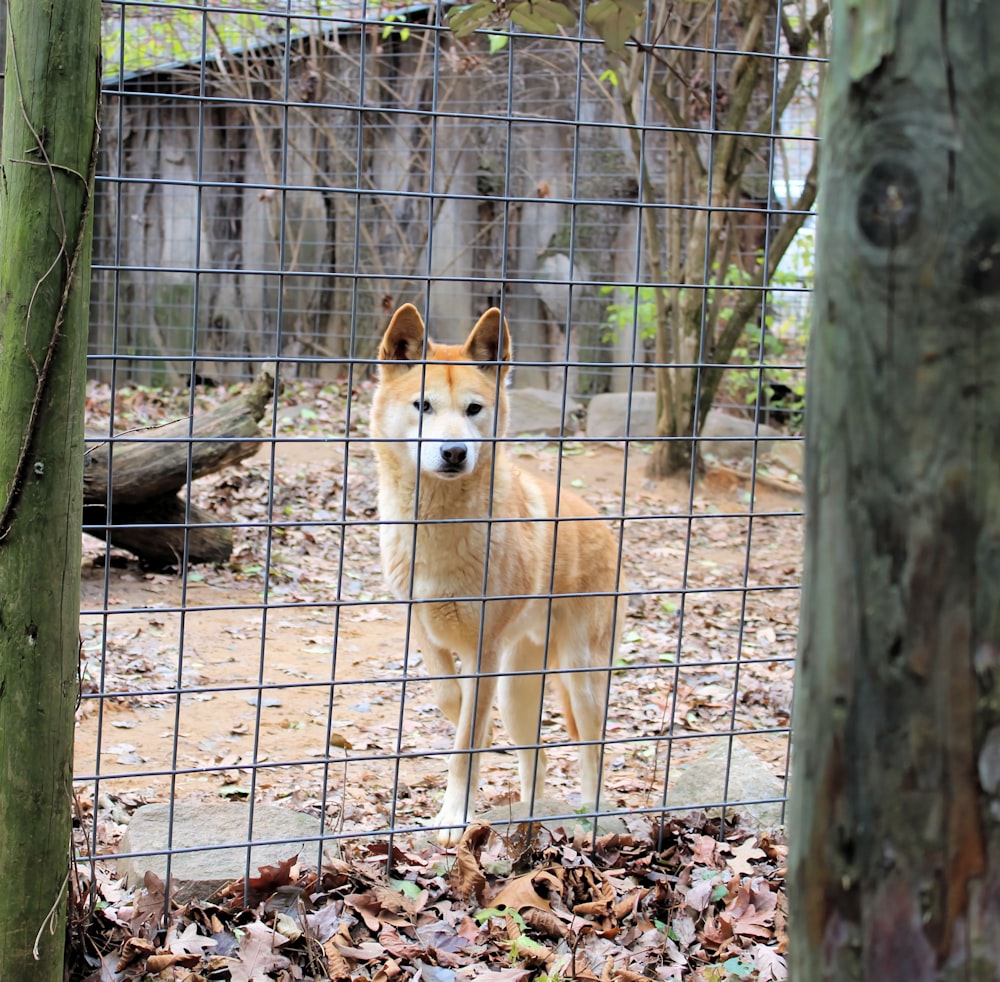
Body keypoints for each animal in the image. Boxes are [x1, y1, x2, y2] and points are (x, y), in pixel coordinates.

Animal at [372, 306, 624, 844]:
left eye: (474, 409)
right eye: (423, 406)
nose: (454, 453)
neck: (439, 527)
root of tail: (601, 523)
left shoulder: (482, 652)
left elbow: (465, 744)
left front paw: (453, 817)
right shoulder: (422, 625)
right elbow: (451, 698)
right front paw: (471, 725)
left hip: (580, 678)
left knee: (593, 751)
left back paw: (591, 816)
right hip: (516, 690)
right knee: (541, 755)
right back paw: (528, 817)